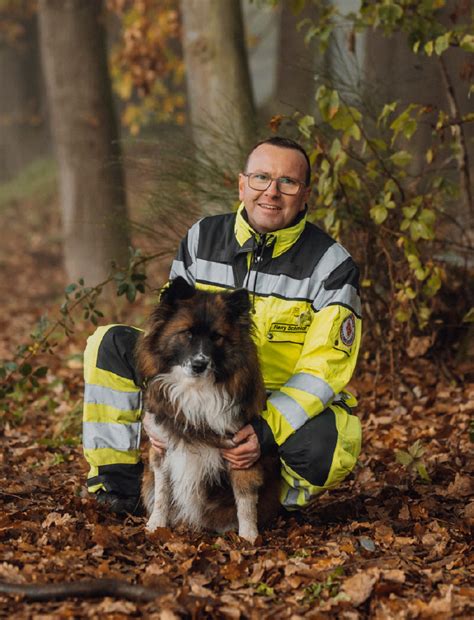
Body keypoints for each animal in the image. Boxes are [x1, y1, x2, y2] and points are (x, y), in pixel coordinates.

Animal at [135, 278, 280, 544]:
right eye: (187, 333)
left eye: (216, 337)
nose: (199, 365)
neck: (196, 390)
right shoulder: (162, 446)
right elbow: (162, 492)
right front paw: (156, 525)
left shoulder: (241, 451)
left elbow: (245, 500)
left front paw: (249, 537)